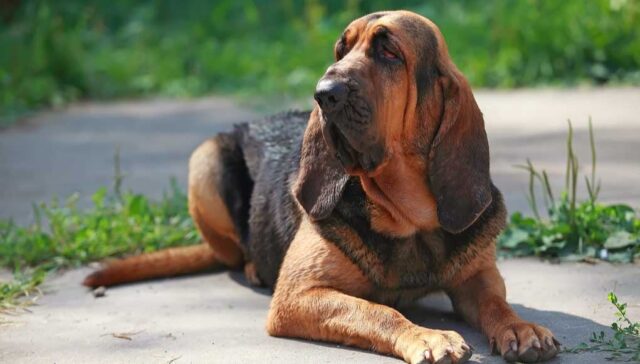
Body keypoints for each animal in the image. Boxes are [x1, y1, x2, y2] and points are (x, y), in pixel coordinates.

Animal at [85, 9, 560, 362]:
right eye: (341, 50)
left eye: (389, 52)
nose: (324, 92)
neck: (406, 217)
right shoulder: (299, 295)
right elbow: (380, 311)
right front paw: (429, 336)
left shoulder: (478, 275)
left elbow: (497, 303)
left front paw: (522, 328)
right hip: (203, 161)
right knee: (234, 252)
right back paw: (253, 265)